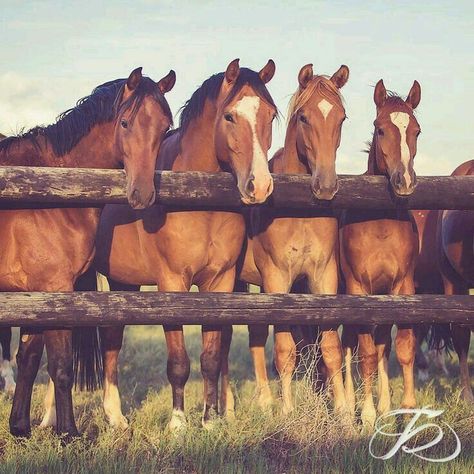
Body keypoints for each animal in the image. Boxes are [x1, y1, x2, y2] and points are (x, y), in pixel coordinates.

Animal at [0, 65, 175, 436]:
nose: (142, 194)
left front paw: (20, 426)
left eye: (165, 126)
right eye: (125, 122)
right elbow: (61, 366)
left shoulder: (34, 296)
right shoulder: (54, 290)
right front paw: (68, 432)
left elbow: (29, 359)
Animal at [89, 59, 278, 430]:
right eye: (230, 116)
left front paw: (210, 420)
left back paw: (115, 415)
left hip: (123, 281)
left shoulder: (220, 283)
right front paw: (177, 423)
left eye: (271, 114)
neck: (197, 200)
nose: (260, 185)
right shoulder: (171, 283)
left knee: (113, 337)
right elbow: (178, 361)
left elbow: (211, 357)